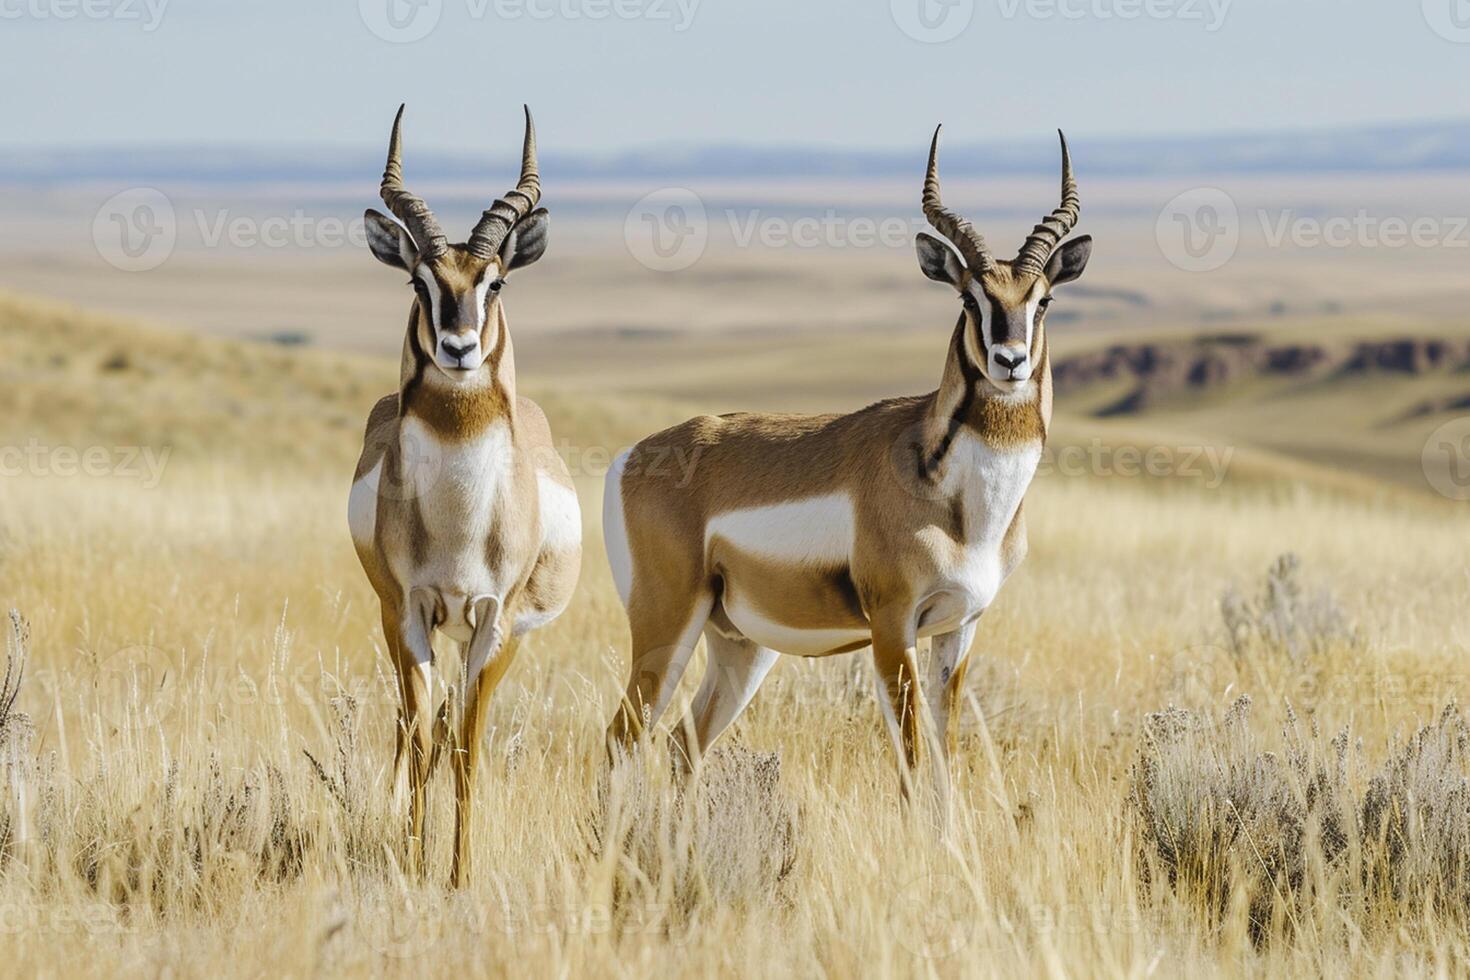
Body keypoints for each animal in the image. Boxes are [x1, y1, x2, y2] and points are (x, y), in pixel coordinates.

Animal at [349, 105, 579, 881]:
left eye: (495, 281)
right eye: (419, 282)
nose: (458, 349)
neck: (457, 523)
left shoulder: (493, 622)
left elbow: (467, 751)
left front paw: (458, 874)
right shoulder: (411, 613)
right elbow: (424, 741)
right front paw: (417, 862)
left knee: (449, 724)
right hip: (396, 622)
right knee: (410, 727)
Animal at [599, 126, 1093, 799]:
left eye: (1042, 300)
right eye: (970, 298)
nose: (1010, 360)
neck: (960, 503)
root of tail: (630, 457)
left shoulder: (960, 627)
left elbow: (945, 758)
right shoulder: (892, 625)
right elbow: (912, 762)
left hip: (739, 644)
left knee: (682, 743)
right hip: (667, 625)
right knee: (622, 739)